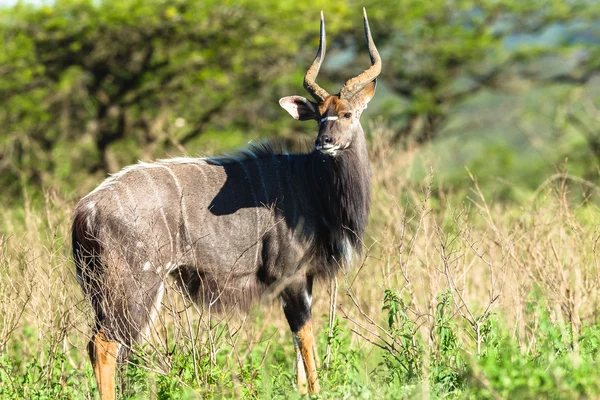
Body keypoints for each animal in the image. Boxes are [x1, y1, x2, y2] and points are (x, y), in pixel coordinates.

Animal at [71, 7, 380, 398]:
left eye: (347, 114)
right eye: (320, 116)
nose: (324, 141)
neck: (311, 183)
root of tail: (84, 212)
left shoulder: (302, 278)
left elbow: (298, 343)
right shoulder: (290, 275)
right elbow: (305, 336)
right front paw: (315, 390)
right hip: (135, 286)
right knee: (104, 344)